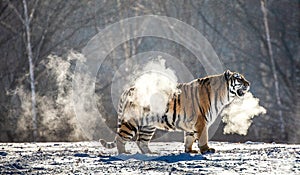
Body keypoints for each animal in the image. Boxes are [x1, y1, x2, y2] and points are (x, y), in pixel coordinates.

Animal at [99, 69, 250, 154]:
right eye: (239, 78)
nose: (249, 84)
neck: (223, 95)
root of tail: (129, 89)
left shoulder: (192, 124)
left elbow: (189, 138)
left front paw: (190, 151)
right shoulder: (202, 121)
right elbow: (203, 137)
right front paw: (206, 150)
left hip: (148, 125)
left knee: (141, 141)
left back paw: (151, 154)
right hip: (132, 121)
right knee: (121, 138)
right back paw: (124, 153)